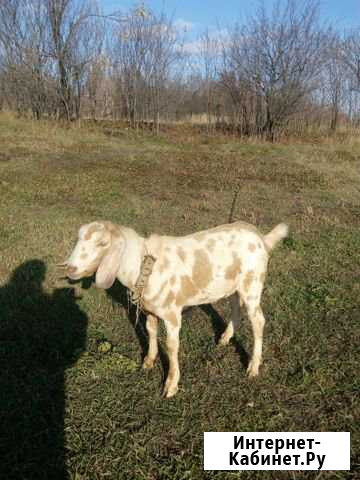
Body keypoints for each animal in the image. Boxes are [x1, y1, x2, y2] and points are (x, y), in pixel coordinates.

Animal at [64, 220, 288, 398]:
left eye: (102, 243)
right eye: (78, 239)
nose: (69, 268)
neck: (142, 265)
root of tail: (261, 238)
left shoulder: (172, 314)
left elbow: (172, 347)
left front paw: (171, 386)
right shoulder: (150, 310)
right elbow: (151, 331)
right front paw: (148, 361)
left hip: (253, 284)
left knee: (258, 321)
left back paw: (253, 367)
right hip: (232, 285)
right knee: (235, 309)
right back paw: (225, 339)